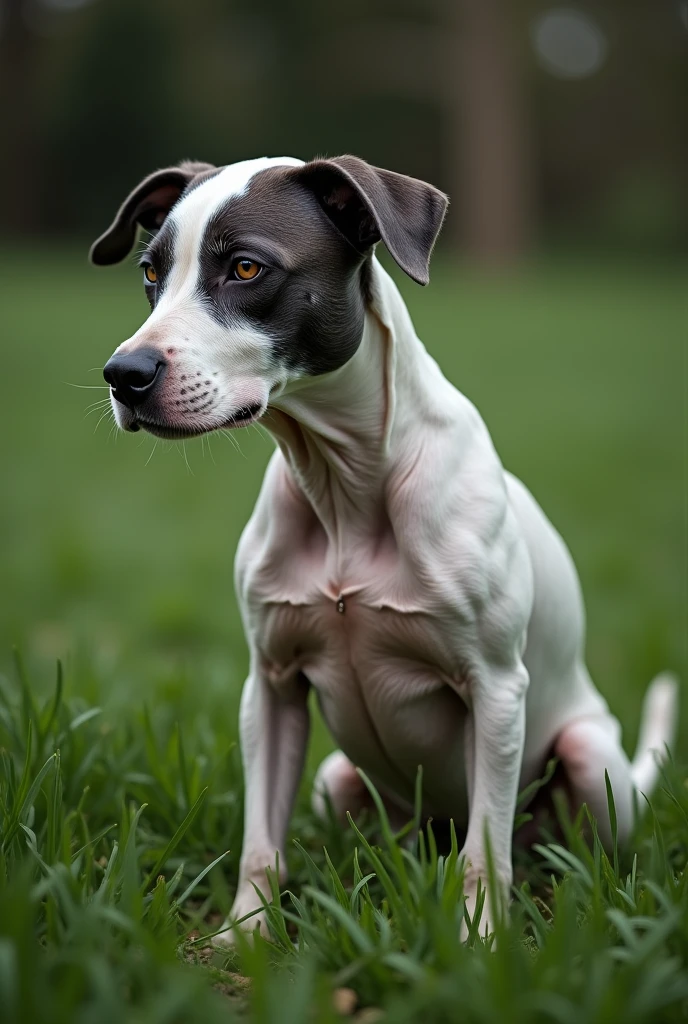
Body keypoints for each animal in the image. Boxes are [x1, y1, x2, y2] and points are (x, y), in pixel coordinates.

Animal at [91, 153, 675, 942]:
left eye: (245, 268)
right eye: (151, 272)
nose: (124, 375)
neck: (344, 487)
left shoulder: (496, 688)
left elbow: (485, 853)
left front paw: (480, 943)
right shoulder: (270, 686)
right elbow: (261, 842)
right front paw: (245, 936)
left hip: (586, 759)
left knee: (538, 842)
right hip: (339, 780)